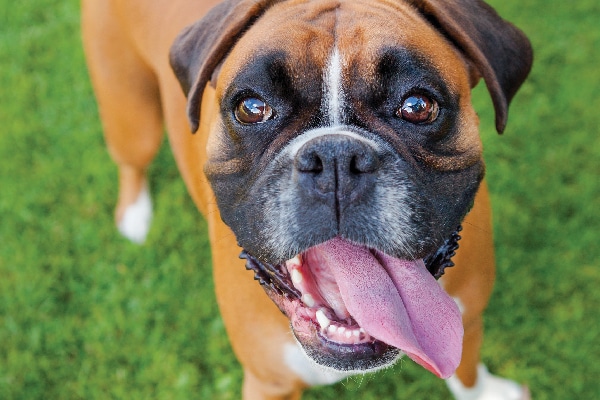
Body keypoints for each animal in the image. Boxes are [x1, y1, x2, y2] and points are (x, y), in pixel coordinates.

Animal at [81, 1, 536, 398]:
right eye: (251, 108)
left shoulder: (467, 319)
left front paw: (485, 392)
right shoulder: (270, 383)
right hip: (131, 114)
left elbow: (465, 367)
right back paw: (135, 215)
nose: (335, 157)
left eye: (418, 105)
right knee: (132, 161)